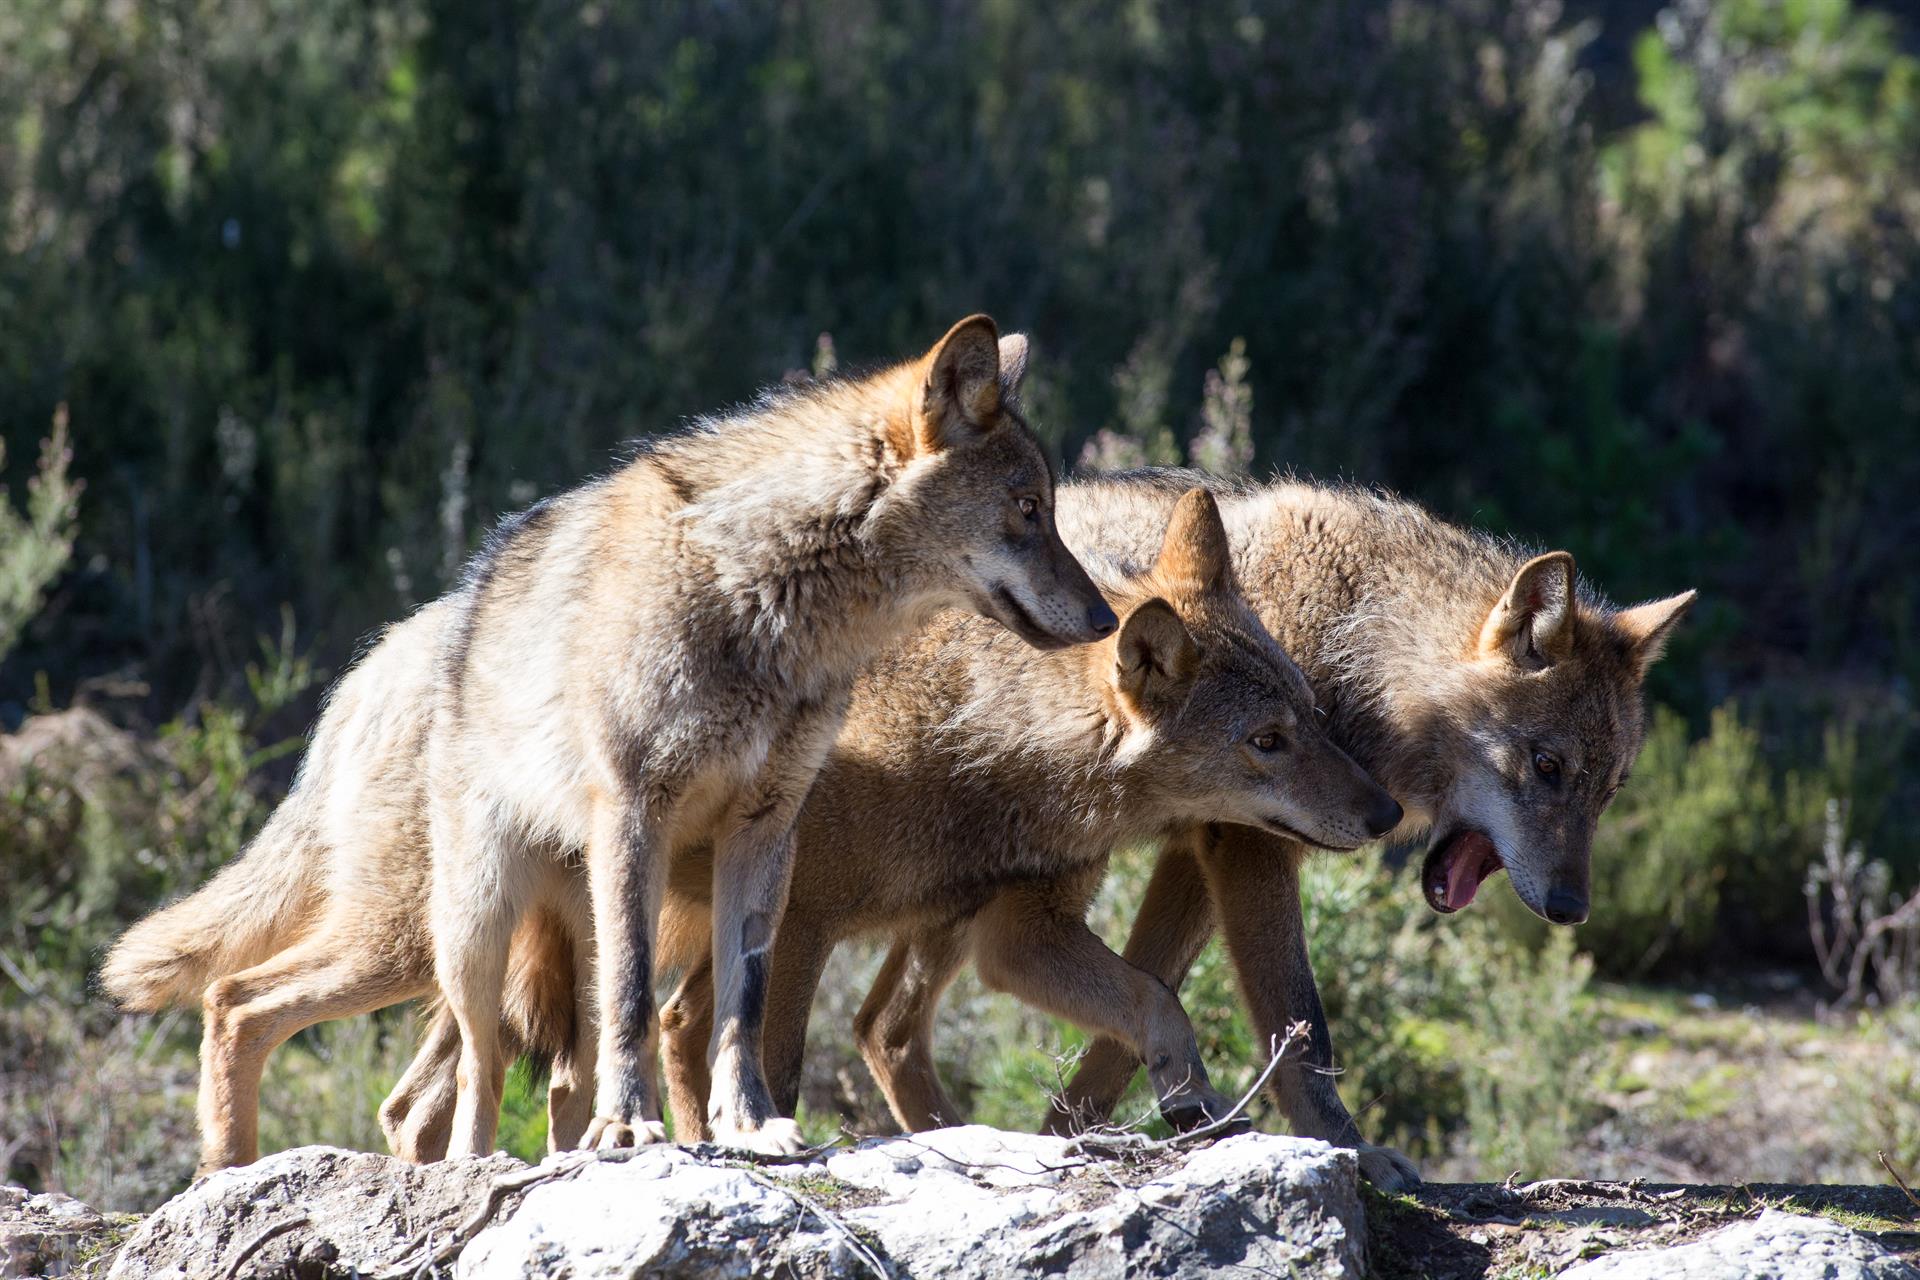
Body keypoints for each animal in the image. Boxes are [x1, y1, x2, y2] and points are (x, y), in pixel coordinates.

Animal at [105, 320, 1121, 1174]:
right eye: (1027, 507)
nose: (1109, 619)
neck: (763, 601)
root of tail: (372, 666)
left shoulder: (767, 833)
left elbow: (742, 1007)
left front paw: (750, 1125)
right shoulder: (638, 813)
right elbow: (638, 1000)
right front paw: (632, 1129)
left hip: (531, 935)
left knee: (486, 1081)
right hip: (450, 934)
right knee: (287, 1019)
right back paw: (263, 1173)